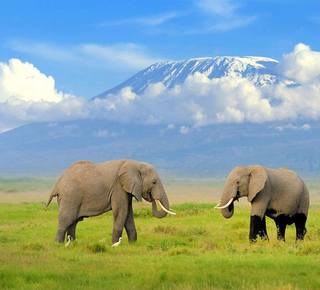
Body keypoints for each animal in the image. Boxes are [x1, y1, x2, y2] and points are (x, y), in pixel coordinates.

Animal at [44, 159, 175, 245]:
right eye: (154, 182)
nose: (152, 197)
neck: (135, 163)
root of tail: (57, 184)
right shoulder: (118, 188)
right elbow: (121, 212)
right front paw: (115, 244)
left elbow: (128, 214)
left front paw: (132, 244)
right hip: (70, 197)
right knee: (66, 220)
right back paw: (58, 244)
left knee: (73, 222)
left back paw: (72, 243)